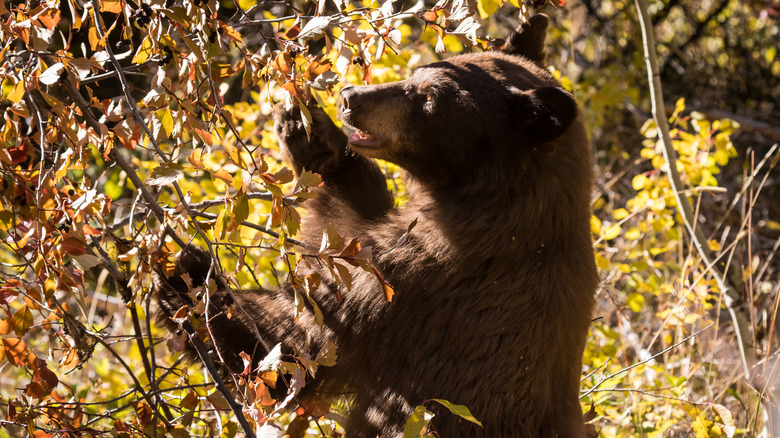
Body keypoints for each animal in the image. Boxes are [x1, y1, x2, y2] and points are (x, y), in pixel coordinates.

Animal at [157, 13, 596, 438]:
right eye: (417, 72)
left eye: (430, 96)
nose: (351, 96)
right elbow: (345, 222)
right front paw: (311, 131)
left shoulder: (426, 275)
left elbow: (301, 337)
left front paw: (188, 276)